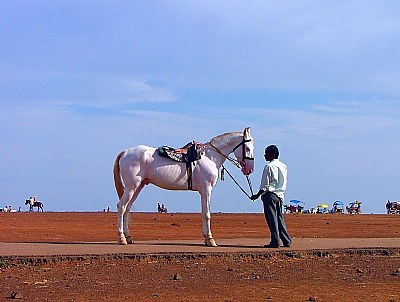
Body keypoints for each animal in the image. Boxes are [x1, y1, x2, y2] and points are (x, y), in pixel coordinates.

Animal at [114, 126, 255, 247]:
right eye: (247, 148)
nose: (249, 169)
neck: (209, 157)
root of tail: (125, 152)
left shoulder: (203, 192)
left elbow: (203, 213)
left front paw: (206, 238)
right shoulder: (207, 190)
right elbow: (207, 214)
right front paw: (210, 239)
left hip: (138, 187)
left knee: (127, 208)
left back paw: (129, 237)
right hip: (131, 187)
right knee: (121, 207)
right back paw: (121, 238)